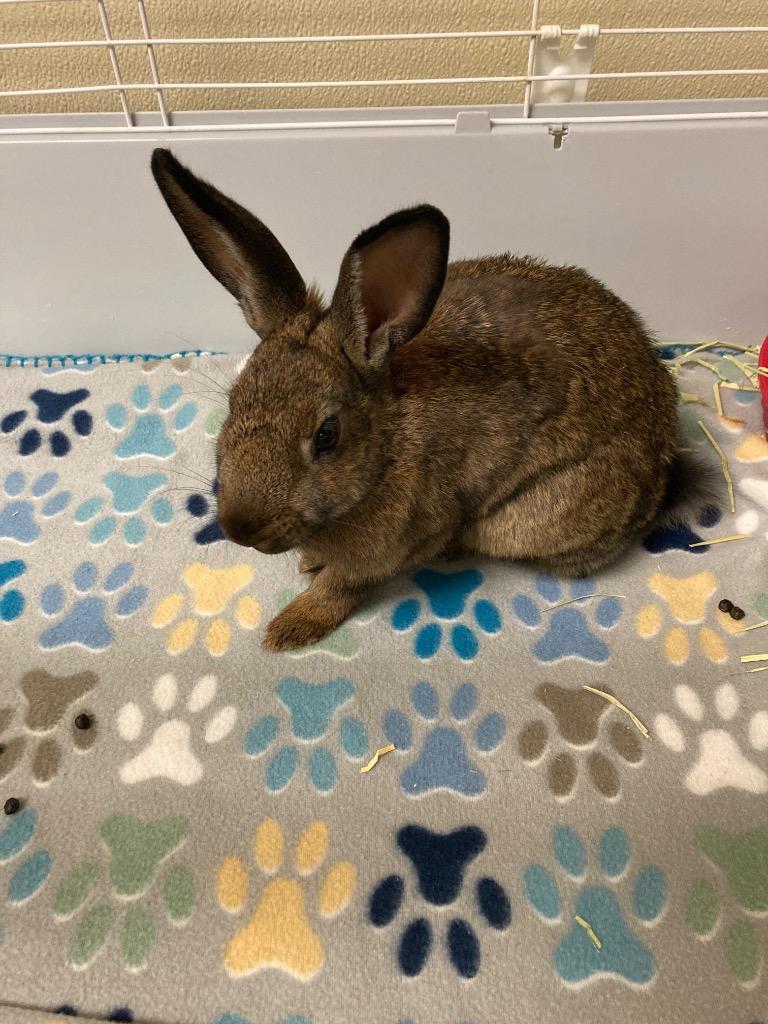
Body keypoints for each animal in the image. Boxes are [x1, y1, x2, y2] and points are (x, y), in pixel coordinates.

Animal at [151, 148, 707, 652]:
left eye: (326, 435)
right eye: (234, 403)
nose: (240, 528)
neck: (385, 451)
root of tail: (663, 470)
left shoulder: (393, 546)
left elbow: (341, 587)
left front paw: (289, 629)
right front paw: (307, 566)